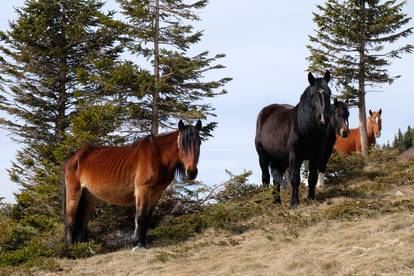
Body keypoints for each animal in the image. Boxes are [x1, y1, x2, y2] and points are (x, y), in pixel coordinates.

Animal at [62, 119, 202, 251]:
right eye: (182, 144)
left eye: (199, 143)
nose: (192, 172)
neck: (157, 156)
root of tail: (74, 157)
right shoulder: (142, 189)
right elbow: (140, 217)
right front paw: (136, 244)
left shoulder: (156, 193)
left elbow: (147, 218)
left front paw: (142, 243)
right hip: (74, 192)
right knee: (70, 220)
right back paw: (70, 251)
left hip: (89, 196)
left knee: (82, 220)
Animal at [256, 71, 334, 207]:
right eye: (313, 95)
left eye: (329, 92)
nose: (324, 120)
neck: (305, 129)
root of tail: (265, 111)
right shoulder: (295, 156)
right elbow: (295, 179)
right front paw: (294, 203)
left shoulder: (316, 155)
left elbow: (312, 178)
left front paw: (311, 199)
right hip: (263, 156)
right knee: (265, 178)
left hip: (279, 159)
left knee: (276, 179)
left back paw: (277, 201)